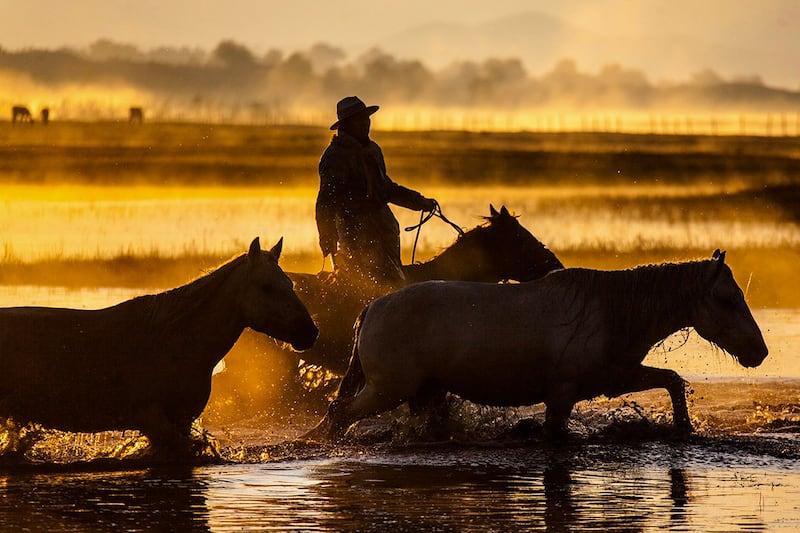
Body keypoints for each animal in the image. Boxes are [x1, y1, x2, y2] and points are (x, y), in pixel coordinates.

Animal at [0, 239, 318, 456]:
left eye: (290, 284)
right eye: (267, 287)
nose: (310, 332)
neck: (175, 341)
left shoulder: (180, 421)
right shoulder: (153, 421)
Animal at [308, 249, 768, 440]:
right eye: (727, 299)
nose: (759, 352)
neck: (613, 311)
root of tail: (373, 307)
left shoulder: (616, 378)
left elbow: (672, 381)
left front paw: (685, 428)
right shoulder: (562, 394)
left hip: (423, 392)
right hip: (387, 389)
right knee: (337, 415)